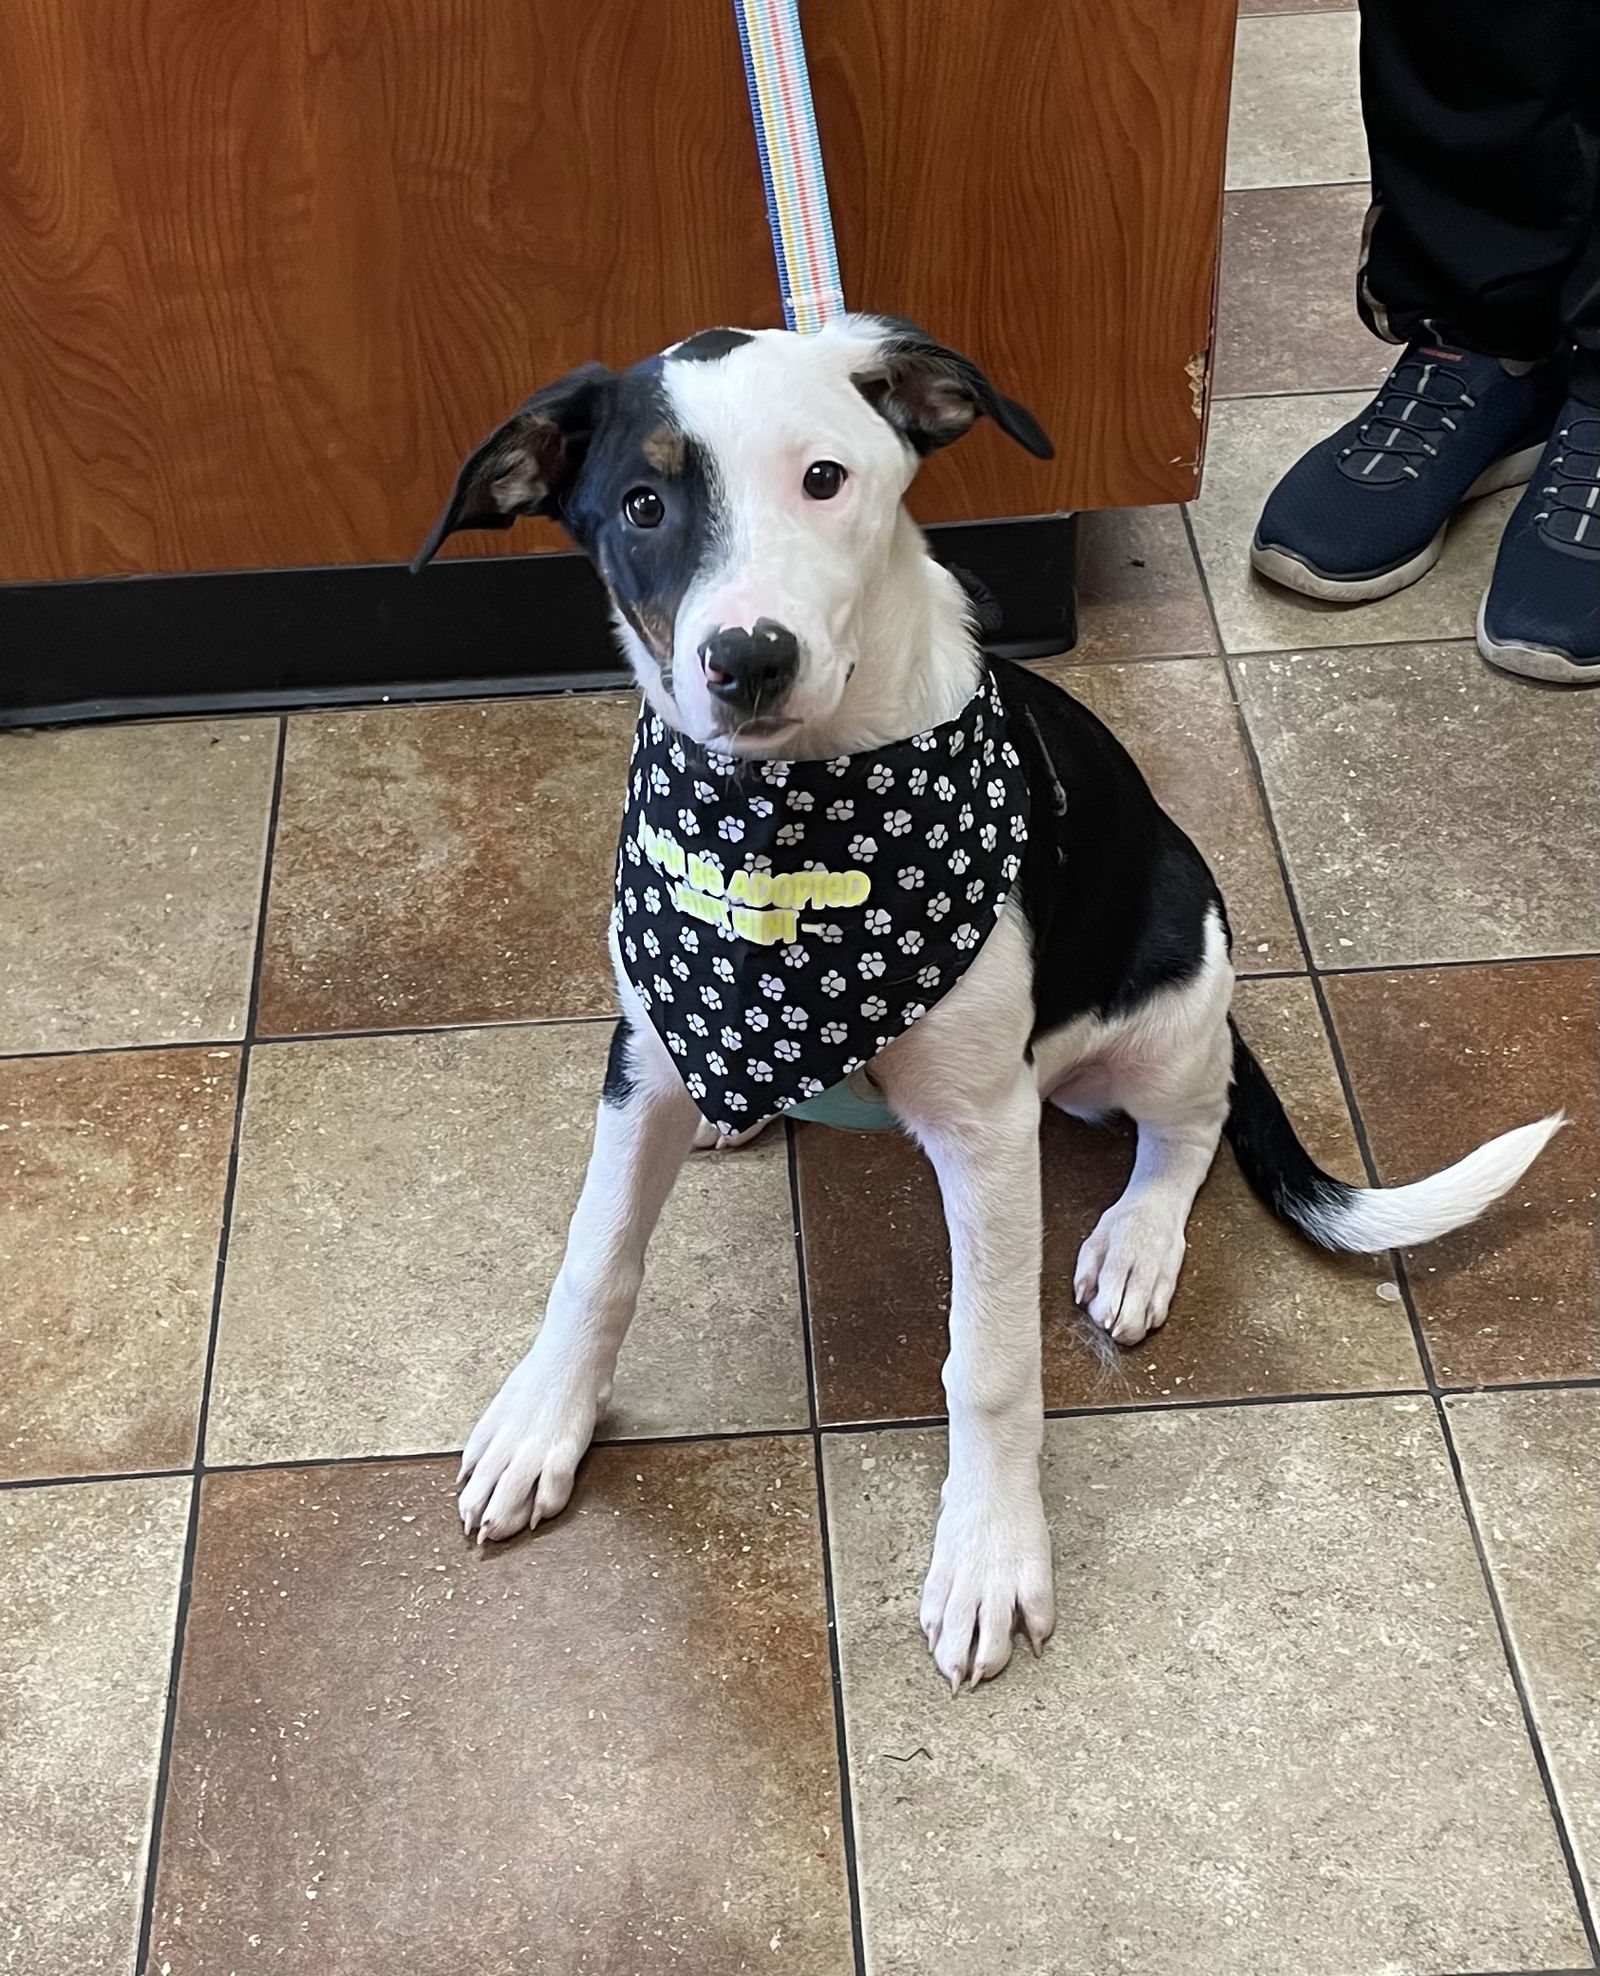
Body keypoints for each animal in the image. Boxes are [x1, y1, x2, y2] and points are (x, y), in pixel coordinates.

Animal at [410, 316, 1556, 1691]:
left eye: (826, 479)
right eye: (643, 503)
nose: (748, 659)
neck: (792, 824)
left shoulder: (987, 1128)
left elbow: (991, 1362)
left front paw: (990, 1553)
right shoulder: (644, 1056)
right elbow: (595, 1258)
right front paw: (542, 1422)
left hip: (1170, 978)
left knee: (1191, 1121)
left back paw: (1137, 1239)